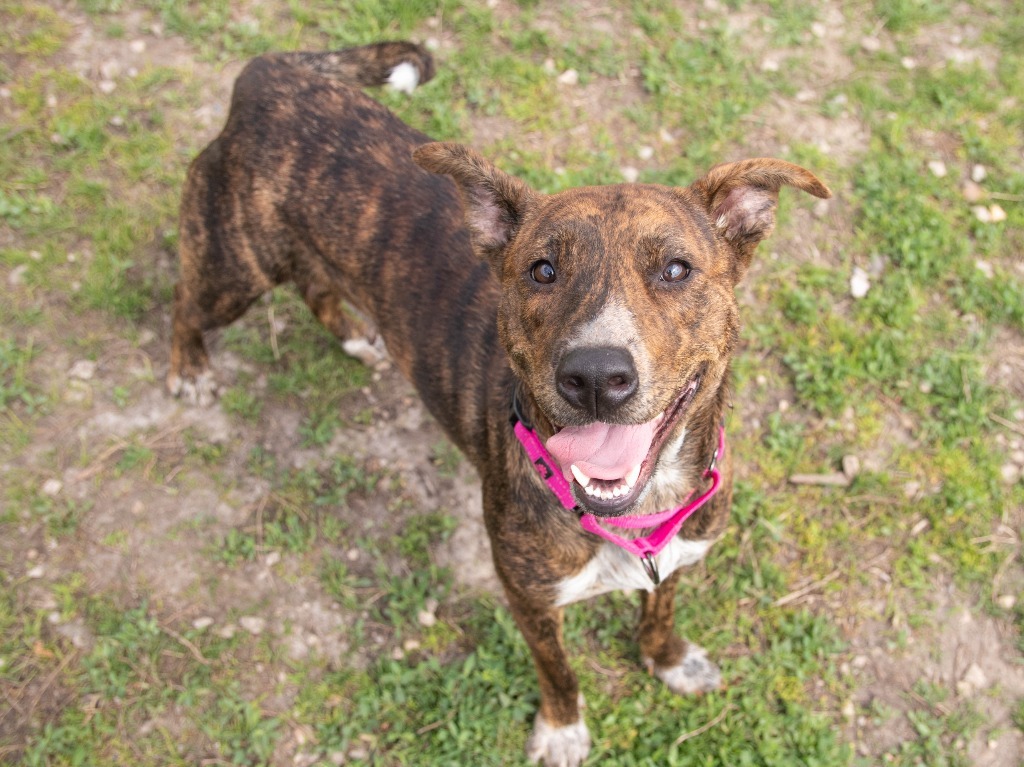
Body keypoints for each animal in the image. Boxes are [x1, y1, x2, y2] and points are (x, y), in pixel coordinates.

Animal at [163, 41, 827, 765]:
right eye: (542, 270)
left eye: (676, 269)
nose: (595, 375)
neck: (632, 512)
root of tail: (269, 73)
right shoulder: (528, 598)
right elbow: (558, 669)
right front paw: (562, 729)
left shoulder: (676, 556)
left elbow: (660, 608)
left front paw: (668, 658)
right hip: (235, 269)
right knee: (184, 301)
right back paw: (189, 367)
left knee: (314, 286)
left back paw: (355, 337)